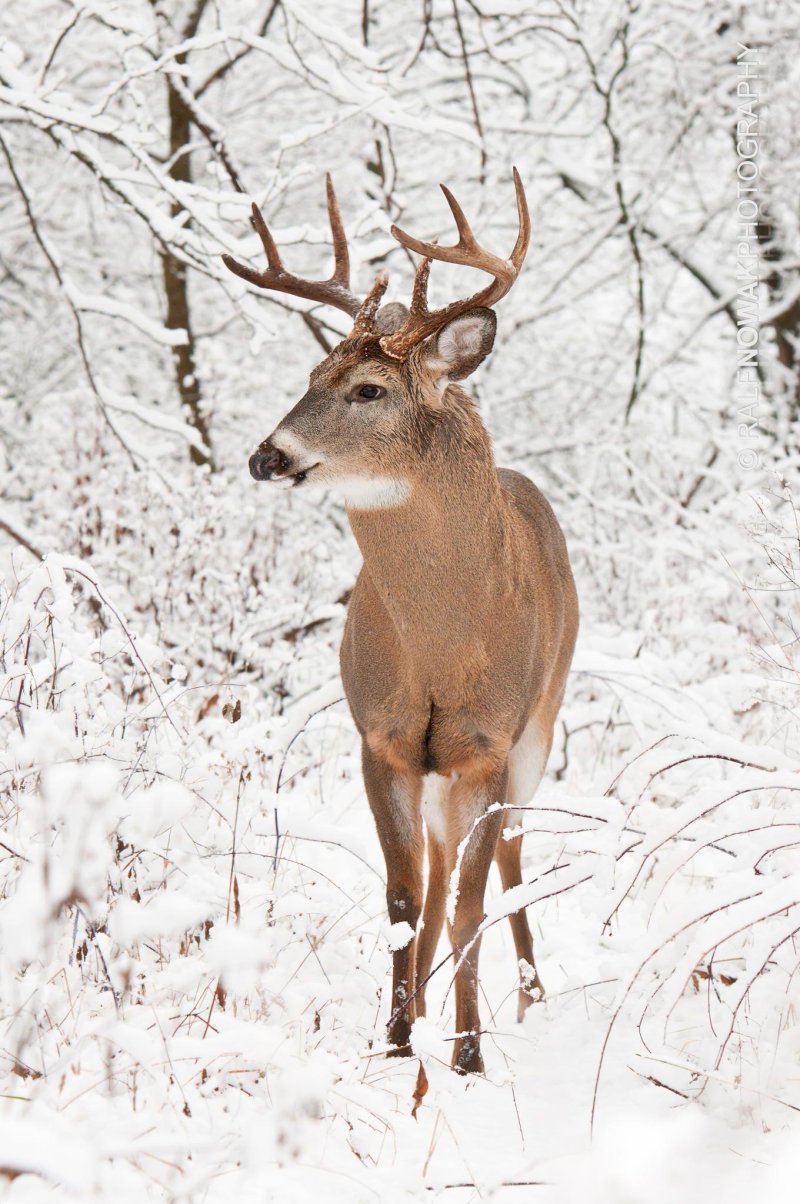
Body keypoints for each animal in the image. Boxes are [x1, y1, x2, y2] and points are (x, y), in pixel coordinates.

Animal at [221, 172, 578, 1073]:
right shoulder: (379, 736)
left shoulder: (487, 742)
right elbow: (403, 895)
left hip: (540, 723)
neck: (445, 644)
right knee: (440, 869)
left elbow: (470, 901)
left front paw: (468, 1056)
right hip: (437, 768)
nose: (267, 455)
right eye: (312, 371)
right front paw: (393, 1042)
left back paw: (528, 999)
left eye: (369, 390)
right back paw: (425, 1003)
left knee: (508, 856)